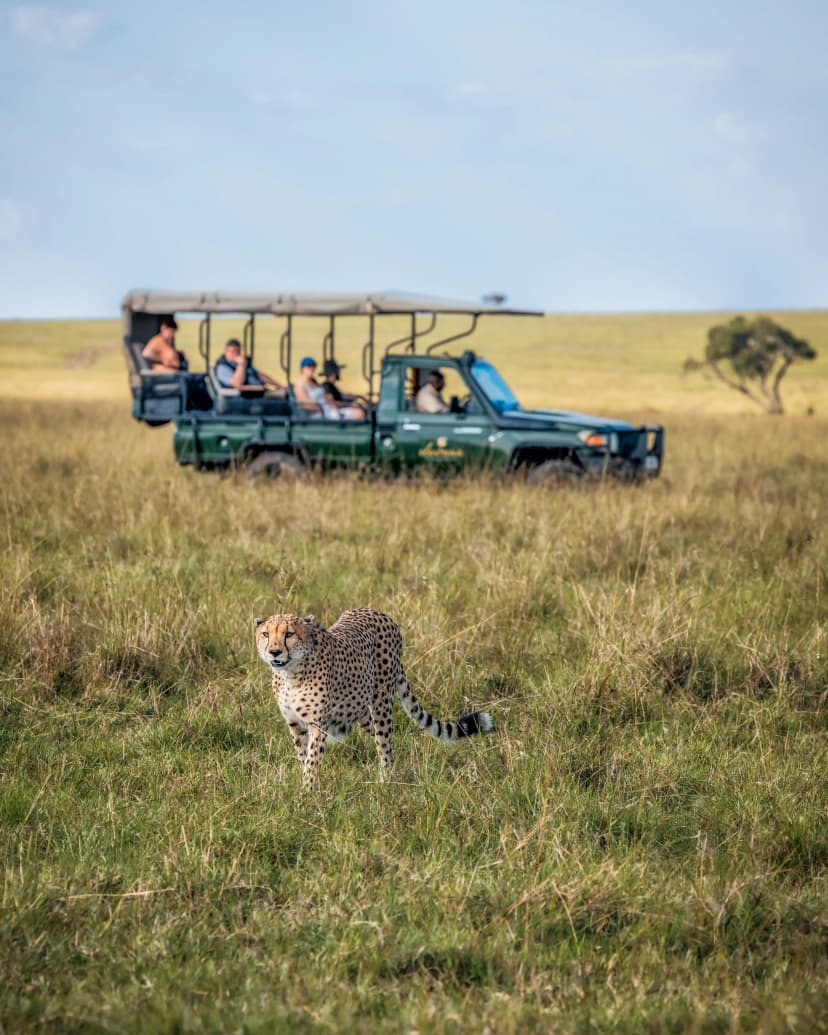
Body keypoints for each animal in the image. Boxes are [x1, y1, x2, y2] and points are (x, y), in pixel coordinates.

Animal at [254, 608, 493, 787]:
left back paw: (386, 782)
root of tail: (378, 612)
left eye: (289, 634)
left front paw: (308, 793)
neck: (290, 674)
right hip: (360, 710)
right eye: (266, 634)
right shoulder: (294, 723)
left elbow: (312, 760)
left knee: (385, 745)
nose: (274, 652)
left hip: (381, 704)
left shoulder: (317, 724)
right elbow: (303, 756)